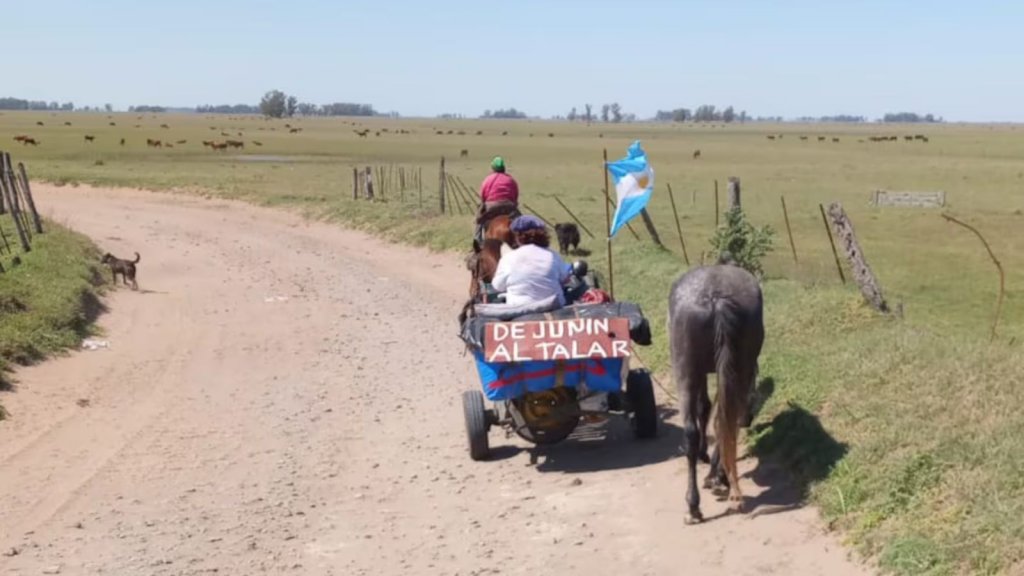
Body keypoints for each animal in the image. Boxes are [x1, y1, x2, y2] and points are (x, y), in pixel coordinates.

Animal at [667, 262, 765, 522]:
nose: (750, 419)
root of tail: (716, 298)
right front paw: (716, 474)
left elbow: (705, 408)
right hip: (734, 368)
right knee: (725, 421)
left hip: (686, 370)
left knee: (694, 430)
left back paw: (696, 502)